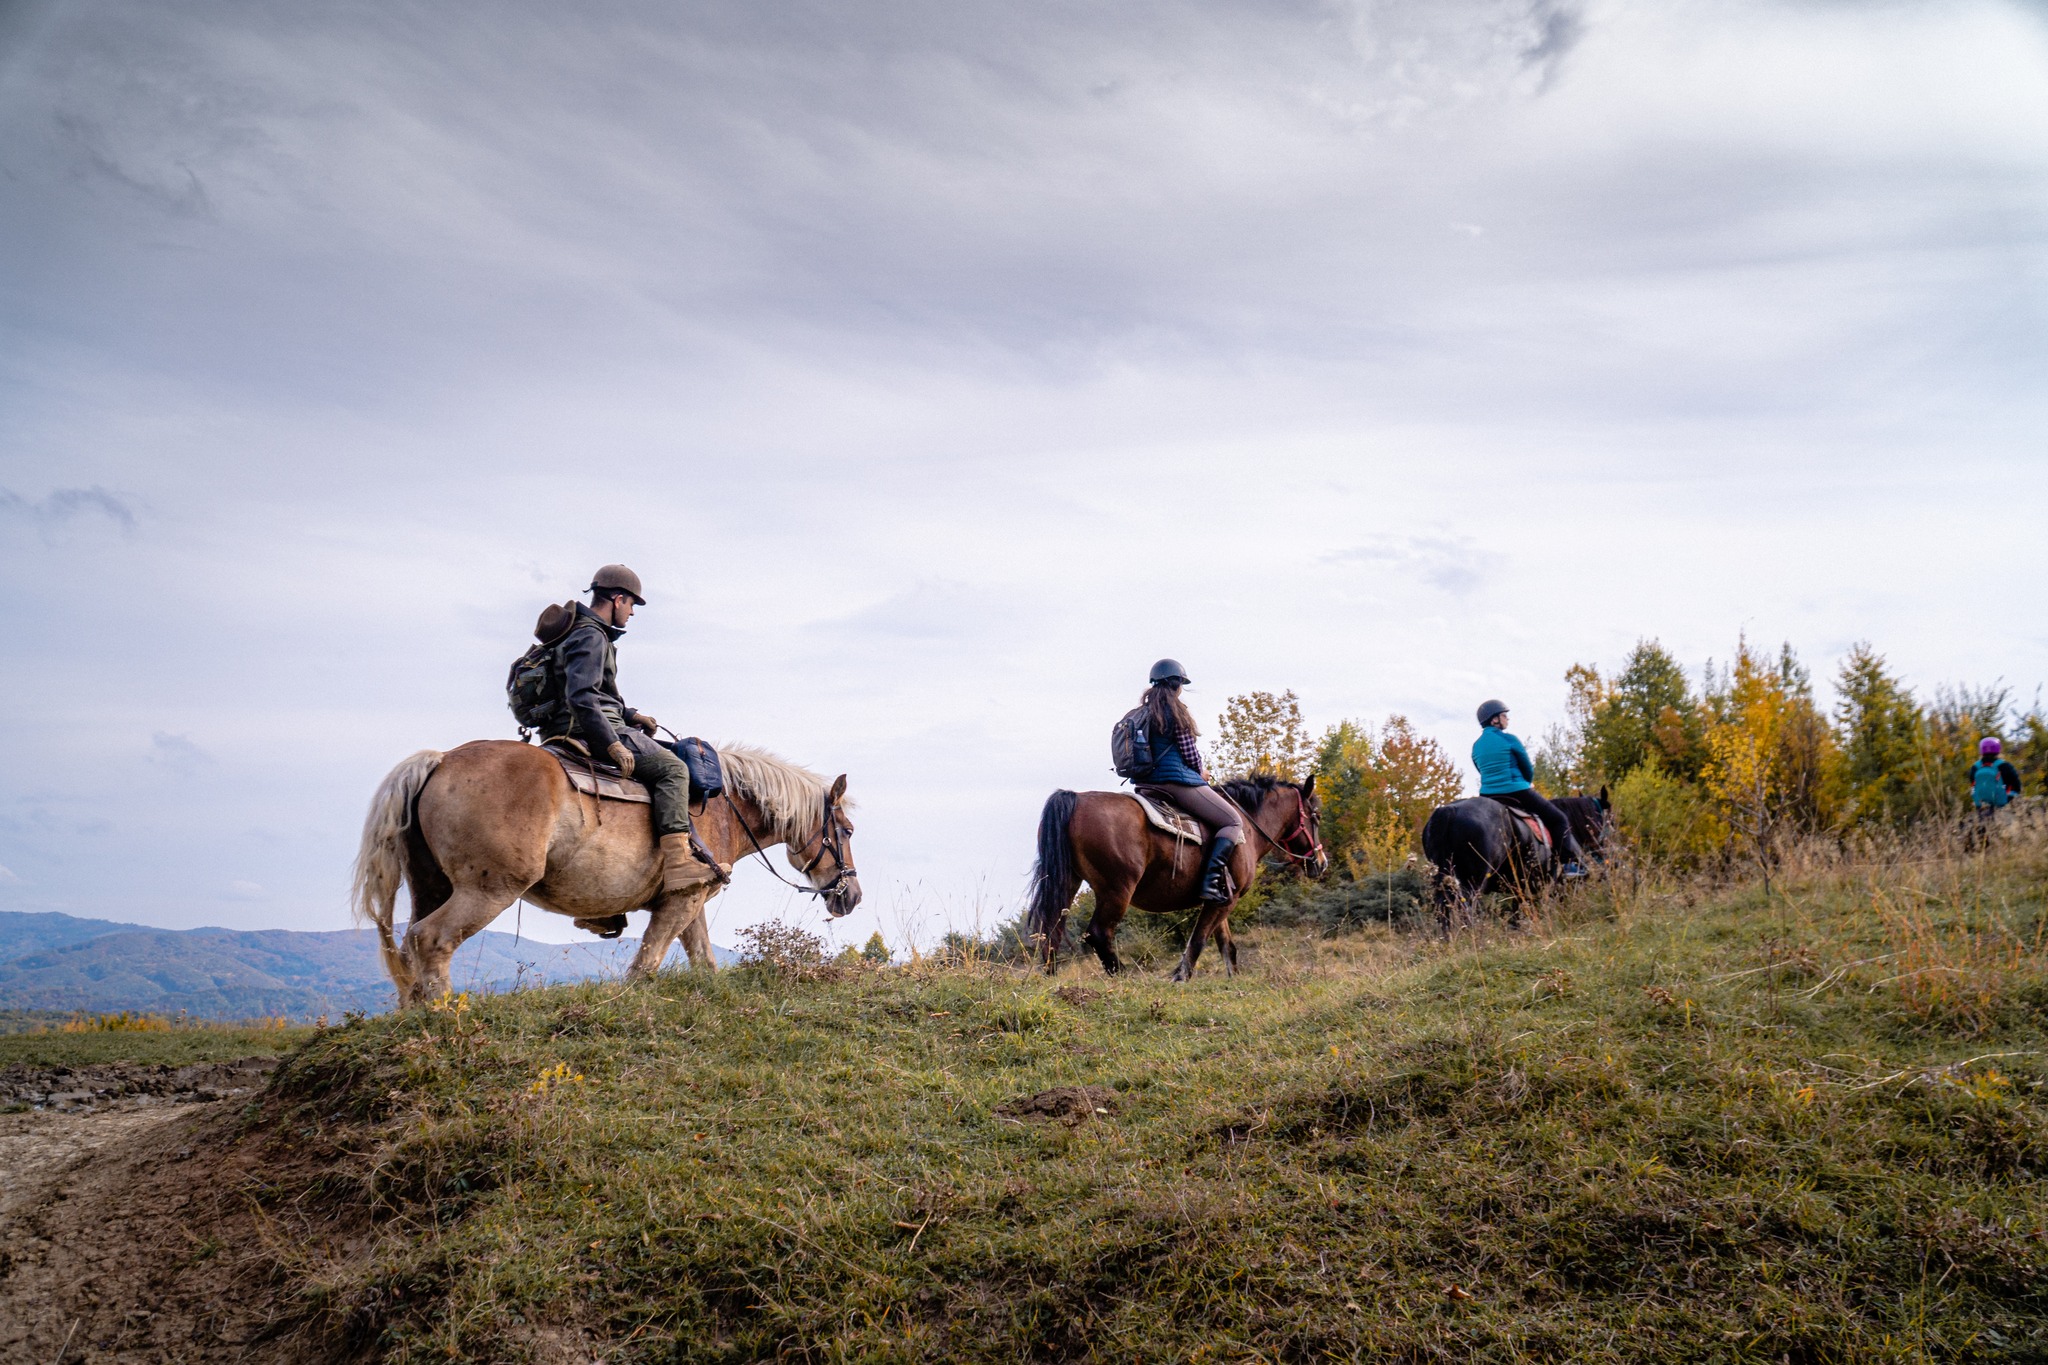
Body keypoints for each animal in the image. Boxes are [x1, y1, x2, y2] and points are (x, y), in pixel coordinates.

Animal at [352, 740, 856, 1010]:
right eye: (847, 830)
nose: (851, 896)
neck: (721, 806)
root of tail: (439, 760)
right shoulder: (682, 901)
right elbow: (646, 965)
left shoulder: (687, 899)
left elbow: (704, 961)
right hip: (487, 890)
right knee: (431, 939)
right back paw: (444, 1014)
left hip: (431, 886)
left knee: (411, 944)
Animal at [1024, 777, 1327, 982]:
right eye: (1316, 816)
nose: (1321, 863)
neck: (1247, 826)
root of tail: (1076, 798)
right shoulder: (1226, 901)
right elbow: (1199, 939)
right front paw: (1181, 976)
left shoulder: (1220, 899)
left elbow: (1225, 944)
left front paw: (1233, 977)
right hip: (1117, 889)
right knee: (1098, 933)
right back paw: (1123, 977)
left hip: (1068, 883)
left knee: (1051, 930)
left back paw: (1051, 977)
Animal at [1417, 785, 1605, 933]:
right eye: (1606, 818)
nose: (1603, 849)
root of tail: (1448, 811)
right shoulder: (1541, 883)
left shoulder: (1520, 886)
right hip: (1472, 882)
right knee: (1465, 908)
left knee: (1444, 909)